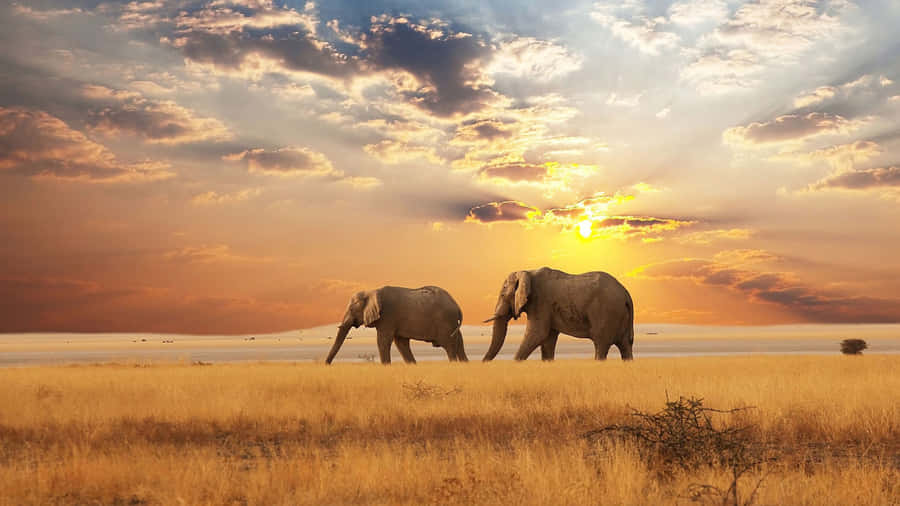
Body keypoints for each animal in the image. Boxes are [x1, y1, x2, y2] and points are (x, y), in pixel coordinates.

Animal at [325, 285, 468, 364]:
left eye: (351, 309)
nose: (326, 365)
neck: (372, 291)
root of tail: (457, 306)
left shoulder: (388, 316)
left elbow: (383, 340)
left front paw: (386, 367)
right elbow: (400, 343)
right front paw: (413, 366)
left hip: (445, 321)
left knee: (449, 346)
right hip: (452, 323)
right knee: (459, 343)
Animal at [482, 267, 634, 361]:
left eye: (503, 295)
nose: (483, 363)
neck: (528, 272)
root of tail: (625, 292)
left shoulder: (541, 302)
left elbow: (537, 334)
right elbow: (547, 339)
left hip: (606, 313)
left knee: (601, 344)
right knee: (625, 345)